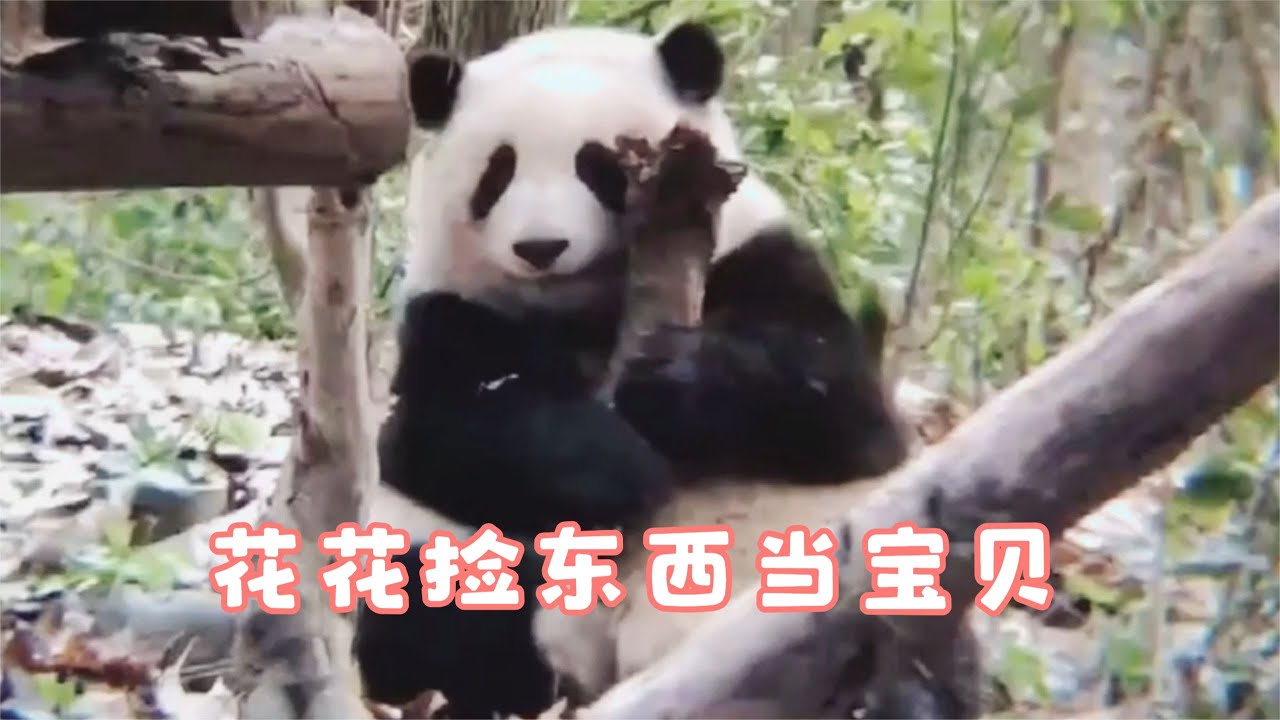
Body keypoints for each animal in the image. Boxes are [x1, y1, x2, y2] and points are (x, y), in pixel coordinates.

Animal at [354, 20, 913, 719]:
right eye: (498, 172)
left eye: (596, 164)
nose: (541, 247)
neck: (586, 311)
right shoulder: (451, 316)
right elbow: (440, 433)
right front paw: (623, 466)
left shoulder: (759, 255)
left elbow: (839, 405)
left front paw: (671, 382)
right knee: (433, 621)